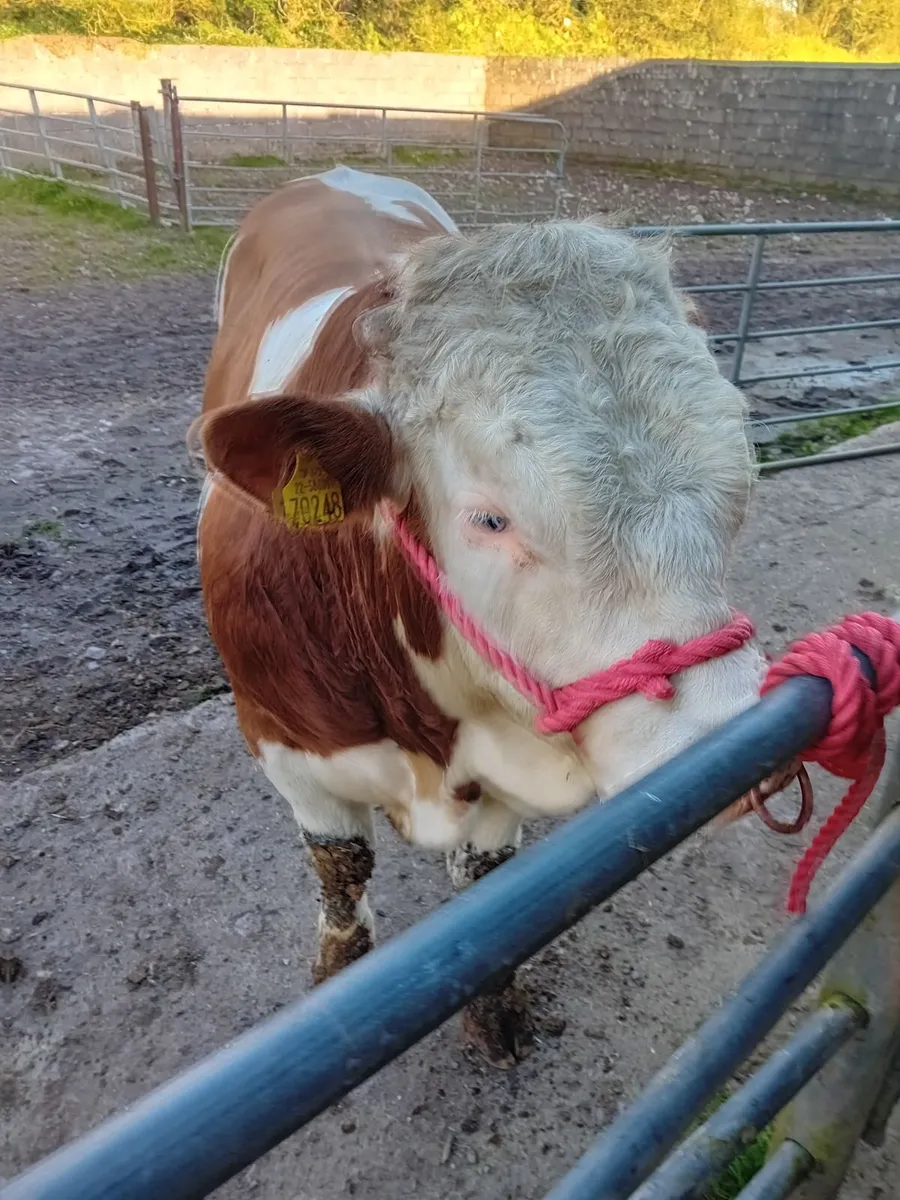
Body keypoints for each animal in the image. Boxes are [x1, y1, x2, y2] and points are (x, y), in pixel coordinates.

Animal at [195, 165, 768, 1067]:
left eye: (740, 484)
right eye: (490, 519)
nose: (735, 745)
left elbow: (487, 889)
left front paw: (493, 1012)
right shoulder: (284, 746)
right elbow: (341, 875)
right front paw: (332, 980)